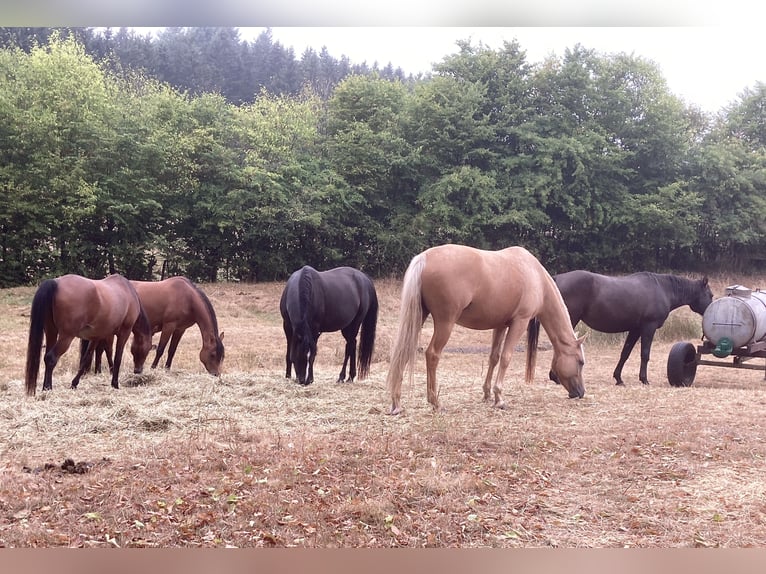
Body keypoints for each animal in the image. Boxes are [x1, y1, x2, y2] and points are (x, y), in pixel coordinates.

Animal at [24, 274, 153, 396]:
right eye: (147, 349)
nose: (138, 370)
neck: (128, 292)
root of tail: (55, 282)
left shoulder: (96, 337)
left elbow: (86, 358)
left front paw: (74, 383)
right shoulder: (124, 332)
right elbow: (117, 358)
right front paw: (115, 384)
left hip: (51, 332)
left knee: (47, 357)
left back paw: (45, 387)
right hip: (66, 337)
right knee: (51, 358)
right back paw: (48, 388)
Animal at [88, 278, 225, 378]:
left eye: (222, 356)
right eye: (213, 354)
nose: (216, 374)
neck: (188, 298)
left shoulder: (180, 329)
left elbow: (172, 351)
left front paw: (167, 369)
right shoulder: (169, 326)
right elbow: (160, 349)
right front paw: (153, 368)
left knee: (99, 349)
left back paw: (98, 371)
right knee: (104, 348)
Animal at [388, 245, 592, 416]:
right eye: (580, 362)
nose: (580, 393)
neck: (535, 276)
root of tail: (424, 258)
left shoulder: (500, 326)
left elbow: (494, 357)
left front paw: (487, 394)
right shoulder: (519, 322)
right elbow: (506, 357)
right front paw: (499, 398)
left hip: (418, 317)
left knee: (404, 352)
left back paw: (397, 403)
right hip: (445, 323)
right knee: (432, 354)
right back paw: (435, 402)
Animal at [552, 272, 712, 388]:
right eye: (710, 295)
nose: (710, 310)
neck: (662, 289)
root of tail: (556, 278)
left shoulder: (635, 330)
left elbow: (625, 353)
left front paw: (618, 378)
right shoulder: (648, 328)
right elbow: (645, 354)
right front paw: (644, 379)